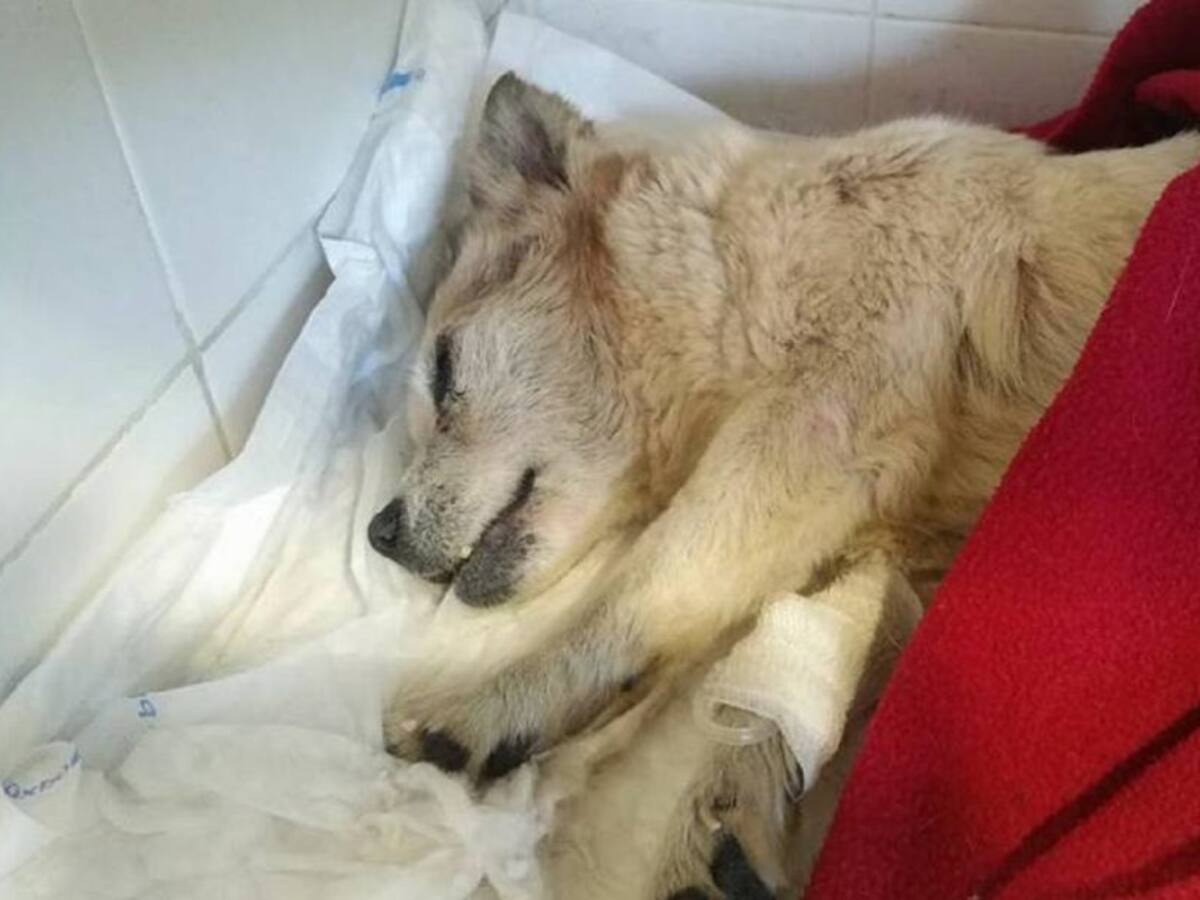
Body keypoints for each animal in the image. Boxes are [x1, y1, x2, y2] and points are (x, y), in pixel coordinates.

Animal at [368, 72, 1199, 898]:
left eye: (443, 367)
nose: (380, 530)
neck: (734, 264)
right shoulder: (928, 558)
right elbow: (829, 667)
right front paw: (729, 815)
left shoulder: (821, 418)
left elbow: (645, 588)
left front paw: (493, 706)